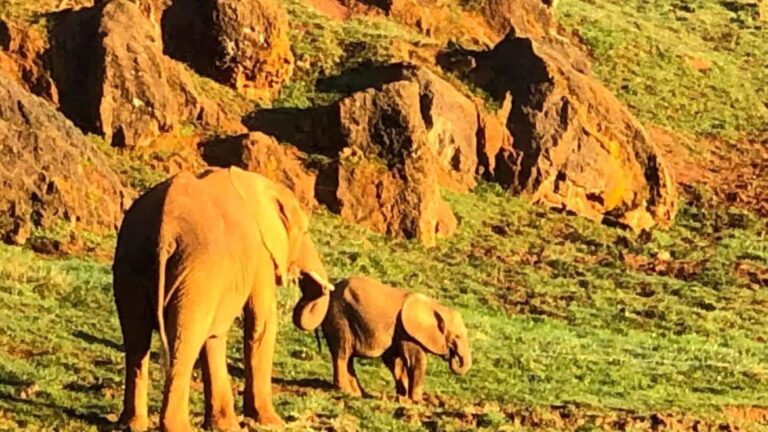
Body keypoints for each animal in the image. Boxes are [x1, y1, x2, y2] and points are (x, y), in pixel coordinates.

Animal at [112, 167, 334, 432]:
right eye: (306, 231)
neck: (258, 184)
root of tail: (163, 229)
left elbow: (215, 334)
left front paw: (225, 427)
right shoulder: (260, 254)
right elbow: (261, 323)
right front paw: (271, 422)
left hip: (132, 262)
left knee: (136, 341)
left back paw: (131, 424)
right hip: (196, 273)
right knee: (182, 343)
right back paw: (178, 427)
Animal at [319, 276, 471, 402]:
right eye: (457, 336)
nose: (450, 354)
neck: (436, 306)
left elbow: (395, 361)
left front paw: (402, 398)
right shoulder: (406, 332)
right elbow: (416, 361)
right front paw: (417, 401)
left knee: (348, 357)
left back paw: (358, 394)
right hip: (339, 317)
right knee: (342, 352)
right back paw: (345, 391)